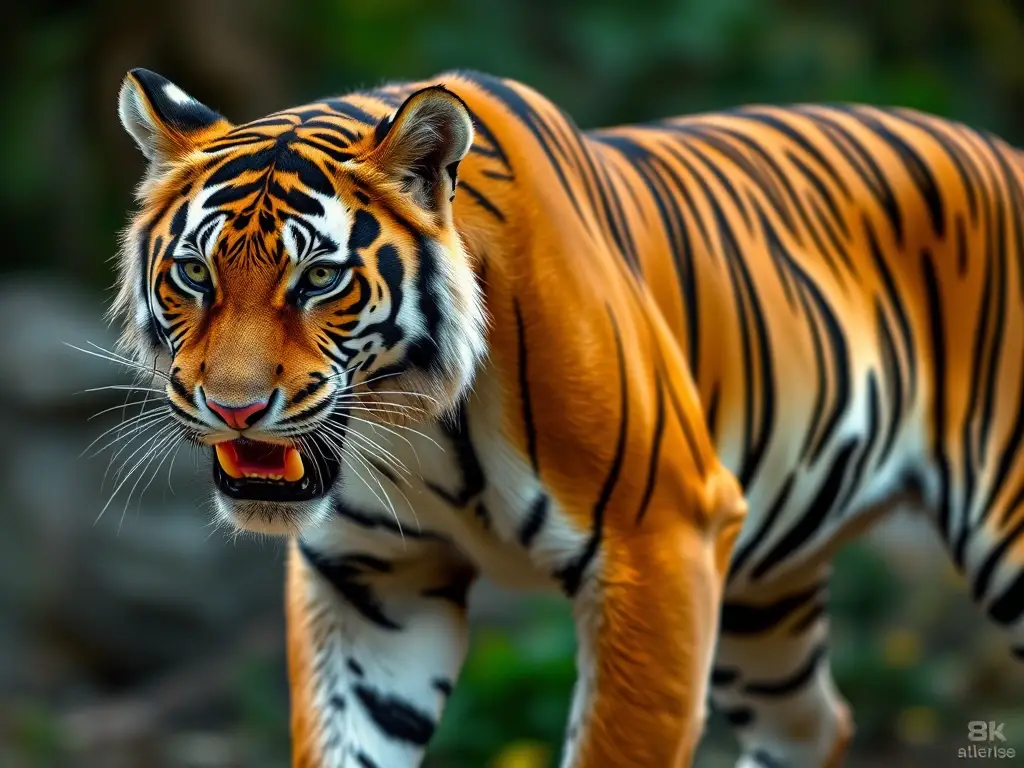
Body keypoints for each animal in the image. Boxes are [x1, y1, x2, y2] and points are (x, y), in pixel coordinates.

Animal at [111, 66, 1024, 768]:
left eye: (319, 280)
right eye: (194, 273)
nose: (234, 408)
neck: (414, 427)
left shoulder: (659, 545)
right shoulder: (369, 579)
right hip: (765, 597)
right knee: (816, 723)